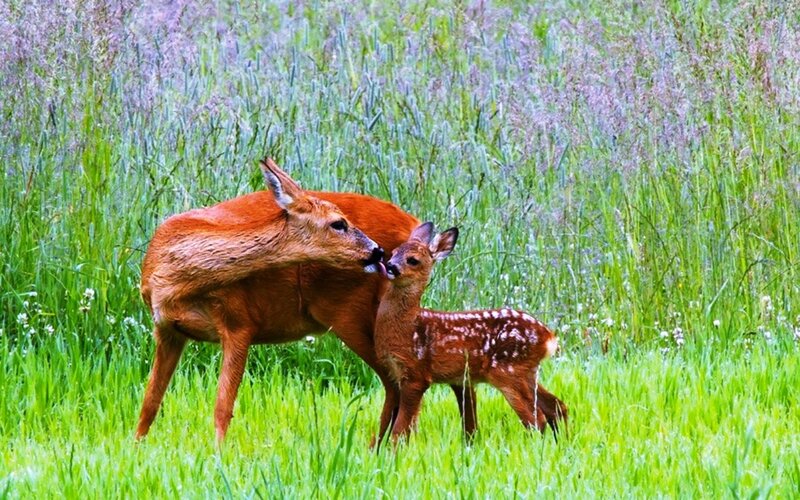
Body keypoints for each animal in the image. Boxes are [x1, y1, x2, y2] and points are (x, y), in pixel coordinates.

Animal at [375, 222, 568, 442]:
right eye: (394, 252)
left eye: (413, 260)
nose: (390, 266)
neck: (407, 325)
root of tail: (548, 337)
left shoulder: (417, 374)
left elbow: (399, 429)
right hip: (527, 371)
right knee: (557, 406)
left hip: (508, 371)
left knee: (536, 419)